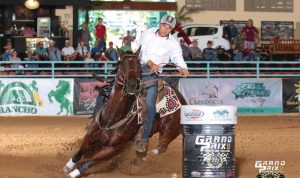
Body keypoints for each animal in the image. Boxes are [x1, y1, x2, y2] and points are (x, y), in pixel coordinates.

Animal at [64, 49, 186, 178]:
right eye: (122, 64)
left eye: (138, 65)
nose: (131, 85)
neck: (112, 118)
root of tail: (182, 100)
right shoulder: (90, 136)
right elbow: (79, 152)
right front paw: (68, 166)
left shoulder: (113, 148)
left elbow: (90, 162)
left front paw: (73, 173)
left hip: (169, 131)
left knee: (161, 147)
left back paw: (143, 158)